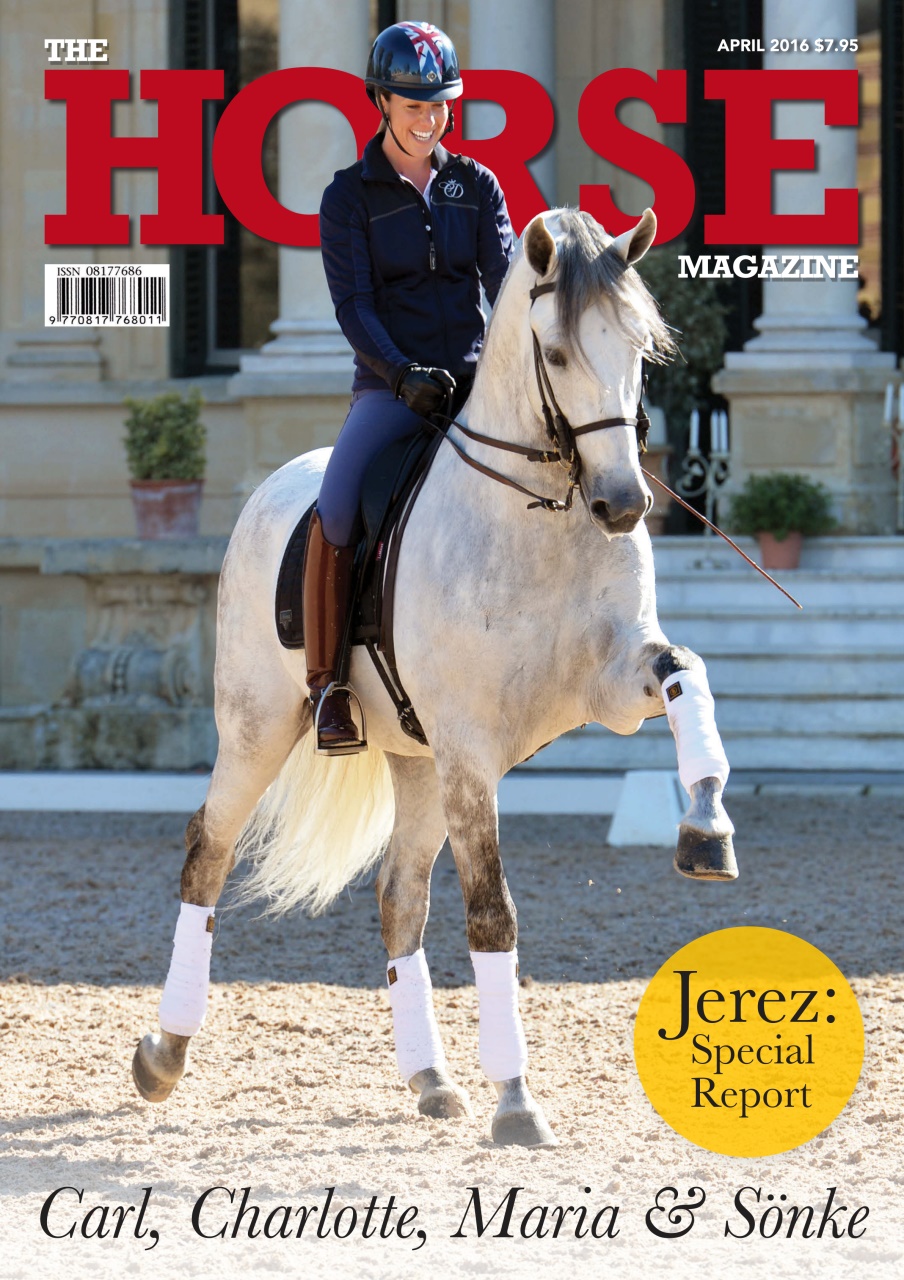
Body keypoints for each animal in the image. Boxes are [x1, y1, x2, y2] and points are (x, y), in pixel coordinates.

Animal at [132, 206, 736, 1147]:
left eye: (639, 346)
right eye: (556, 353)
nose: (624, 504)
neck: (541, 512)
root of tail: (276, 485)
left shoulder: (609, 683)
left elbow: (685, 672)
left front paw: (706, 825)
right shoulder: (470, 749)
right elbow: (491, 911)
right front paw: (517, 1100)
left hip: (414, 761)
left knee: (398, 896)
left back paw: (430, 1076)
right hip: (264, 729)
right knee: (209, 851)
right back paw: (163, 1054)